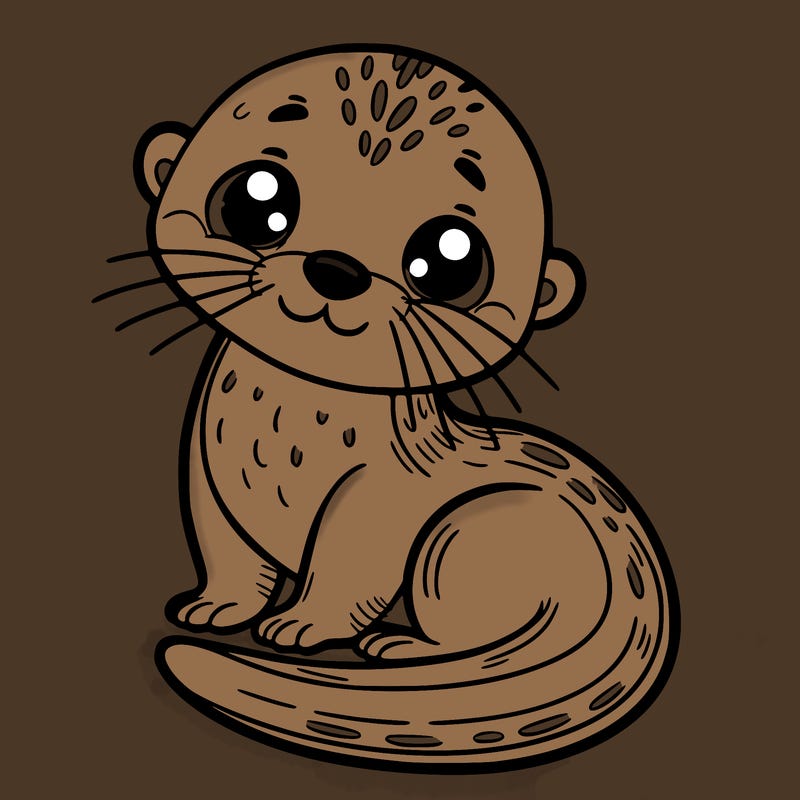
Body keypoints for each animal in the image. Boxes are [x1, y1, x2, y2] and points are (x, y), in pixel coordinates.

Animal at [101, 46, 679, 771]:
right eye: (254, 199)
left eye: (450, 259)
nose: (335, 268)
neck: (284, 428)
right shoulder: (206, 472)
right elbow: (226, 552)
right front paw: (216, 607)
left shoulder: (377, 498)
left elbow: (349, 569)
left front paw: (301, 624)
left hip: (462, 534)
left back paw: (402, 646)